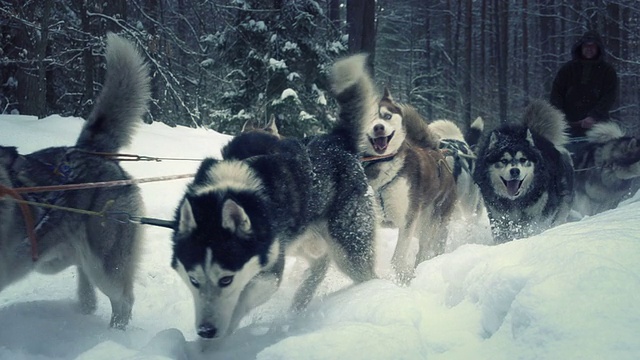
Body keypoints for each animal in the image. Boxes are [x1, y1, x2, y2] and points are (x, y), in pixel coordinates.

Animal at [472, 100, 572, 243]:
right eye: (504, 160)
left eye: (523, 159)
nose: (515, 171)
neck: (515, 201)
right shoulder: (499, 218)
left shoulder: (538, 216)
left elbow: (531, 229)